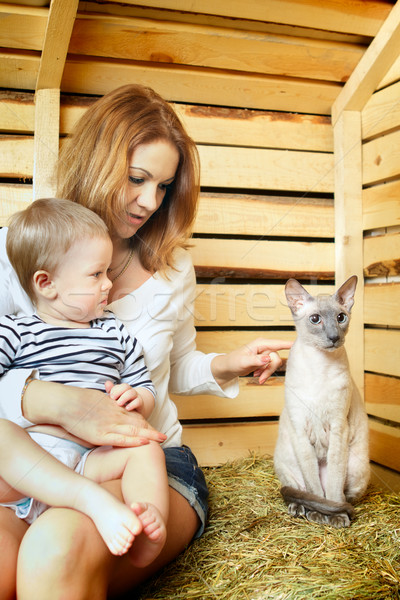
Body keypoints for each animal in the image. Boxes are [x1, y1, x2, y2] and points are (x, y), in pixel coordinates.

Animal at [274, 274, 370, 528]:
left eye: (341, 318)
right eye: (315, 319)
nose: (334, 337)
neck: (319, 365)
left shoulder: (338, 427)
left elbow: (334, 488)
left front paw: (336, 517)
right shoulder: (299, 429)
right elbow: (313, 488)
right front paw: (318, 516)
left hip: (357, 468)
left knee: (341, 496)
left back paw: (336, 512)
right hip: (287, 460)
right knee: (300, 490)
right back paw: (301, 509)